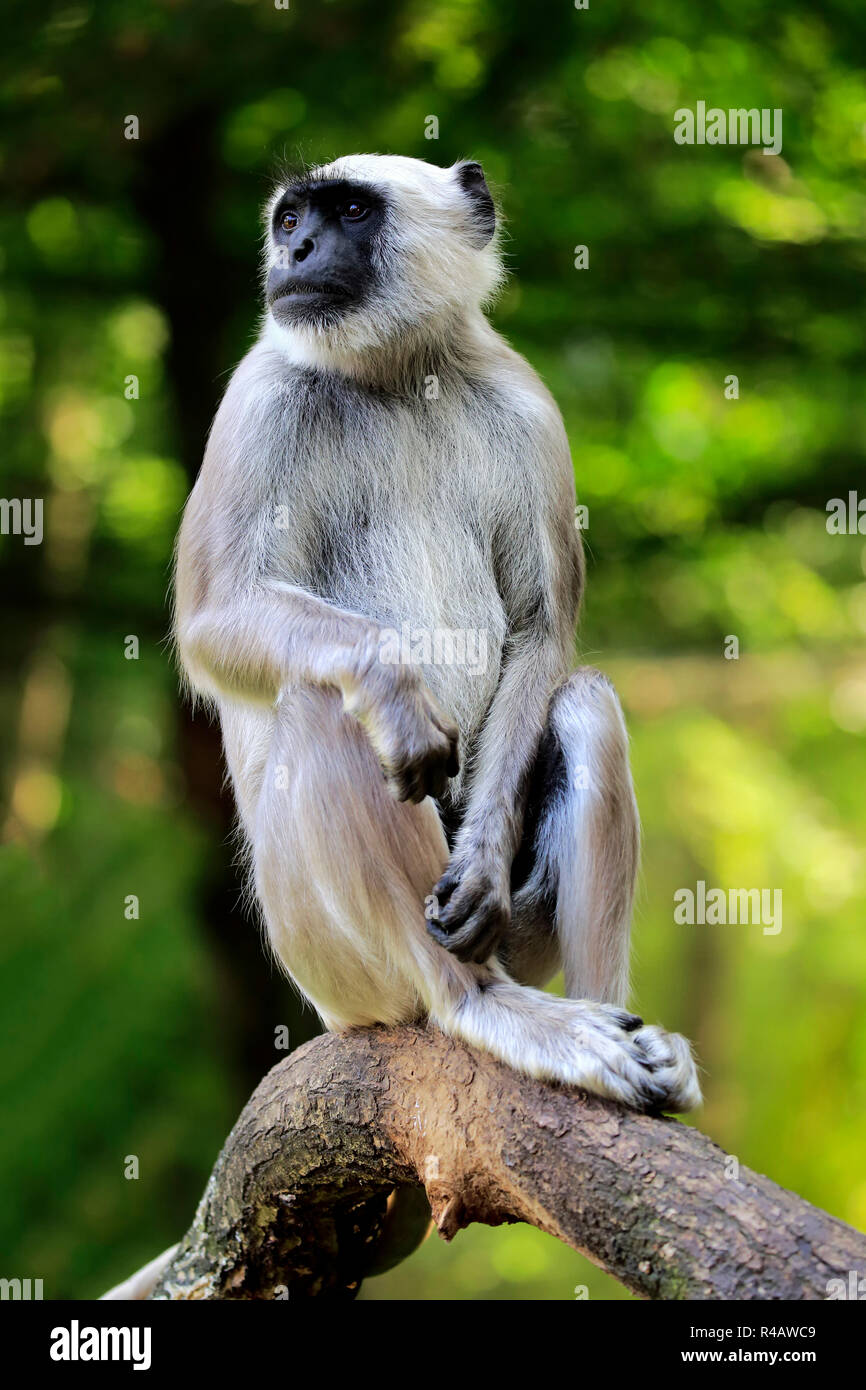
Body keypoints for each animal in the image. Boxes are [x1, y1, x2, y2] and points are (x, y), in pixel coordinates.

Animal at [174, 152, 706, 1112]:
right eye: (289, 221)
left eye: (349, 211)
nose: (297, 251)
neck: (395, 373)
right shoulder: (259, 396)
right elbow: (212, 619)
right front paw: (392, 686)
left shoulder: (526, 404)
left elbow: (539, 633)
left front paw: (484, 859)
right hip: (327, 961)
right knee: (326, 702)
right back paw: (477, 1007)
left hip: (516, 935)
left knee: (584, 702)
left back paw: (621, 1029)